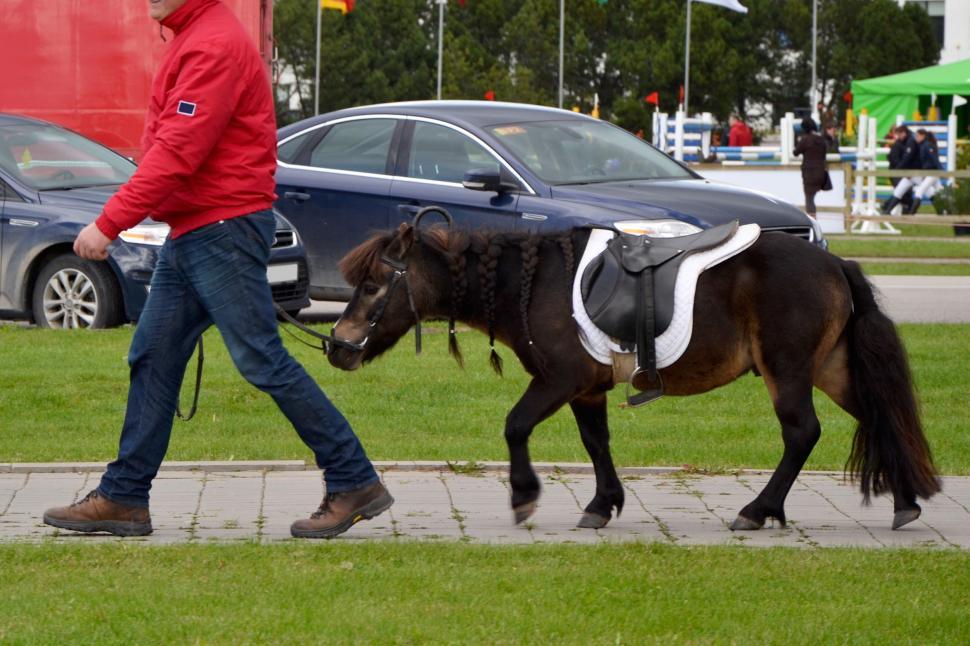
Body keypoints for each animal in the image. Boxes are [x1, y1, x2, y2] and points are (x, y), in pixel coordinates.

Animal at [328, 223, 936, 532]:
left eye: (374, 285)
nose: (336, 345)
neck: (535, 281)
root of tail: (836, 264)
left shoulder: (559, 379)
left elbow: (515, 425)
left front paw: (524, 495)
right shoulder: (587, 389)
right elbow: (596, 443)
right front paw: (602, 504)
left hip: (785, 371)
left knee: (802, 433)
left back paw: (757, 510)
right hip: (830, 368)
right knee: (880, 416)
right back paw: (904, 500)